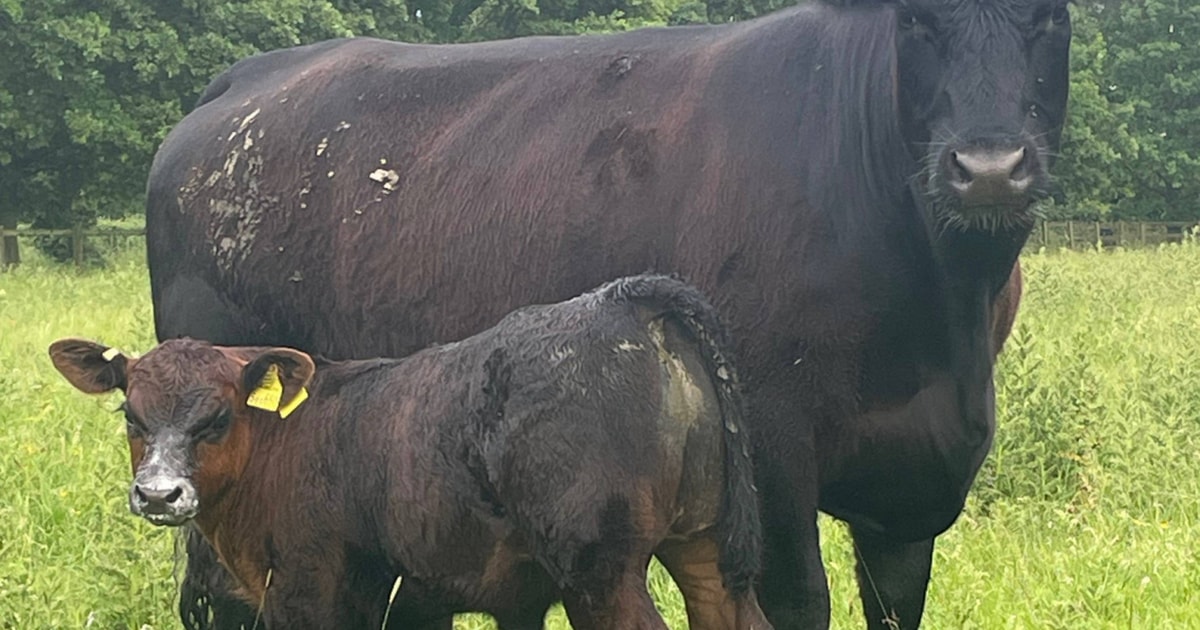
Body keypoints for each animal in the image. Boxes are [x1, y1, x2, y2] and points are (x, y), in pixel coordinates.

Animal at [50, 275, 772, 630]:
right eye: (130, 414)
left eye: (218, 418)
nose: (158, 494)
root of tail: (624, 302)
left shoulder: (309, 593)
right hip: (705, 549)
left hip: (600, 572)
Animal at [145, 0, 1071, 627]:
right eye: (917, 21)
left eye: (1049, 17)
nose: (989, 167)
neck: (940, 320)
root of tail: (247, 81)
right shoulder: (774, 455)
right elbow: (801, 601)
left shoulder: (911, 488)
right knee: (217, 598)